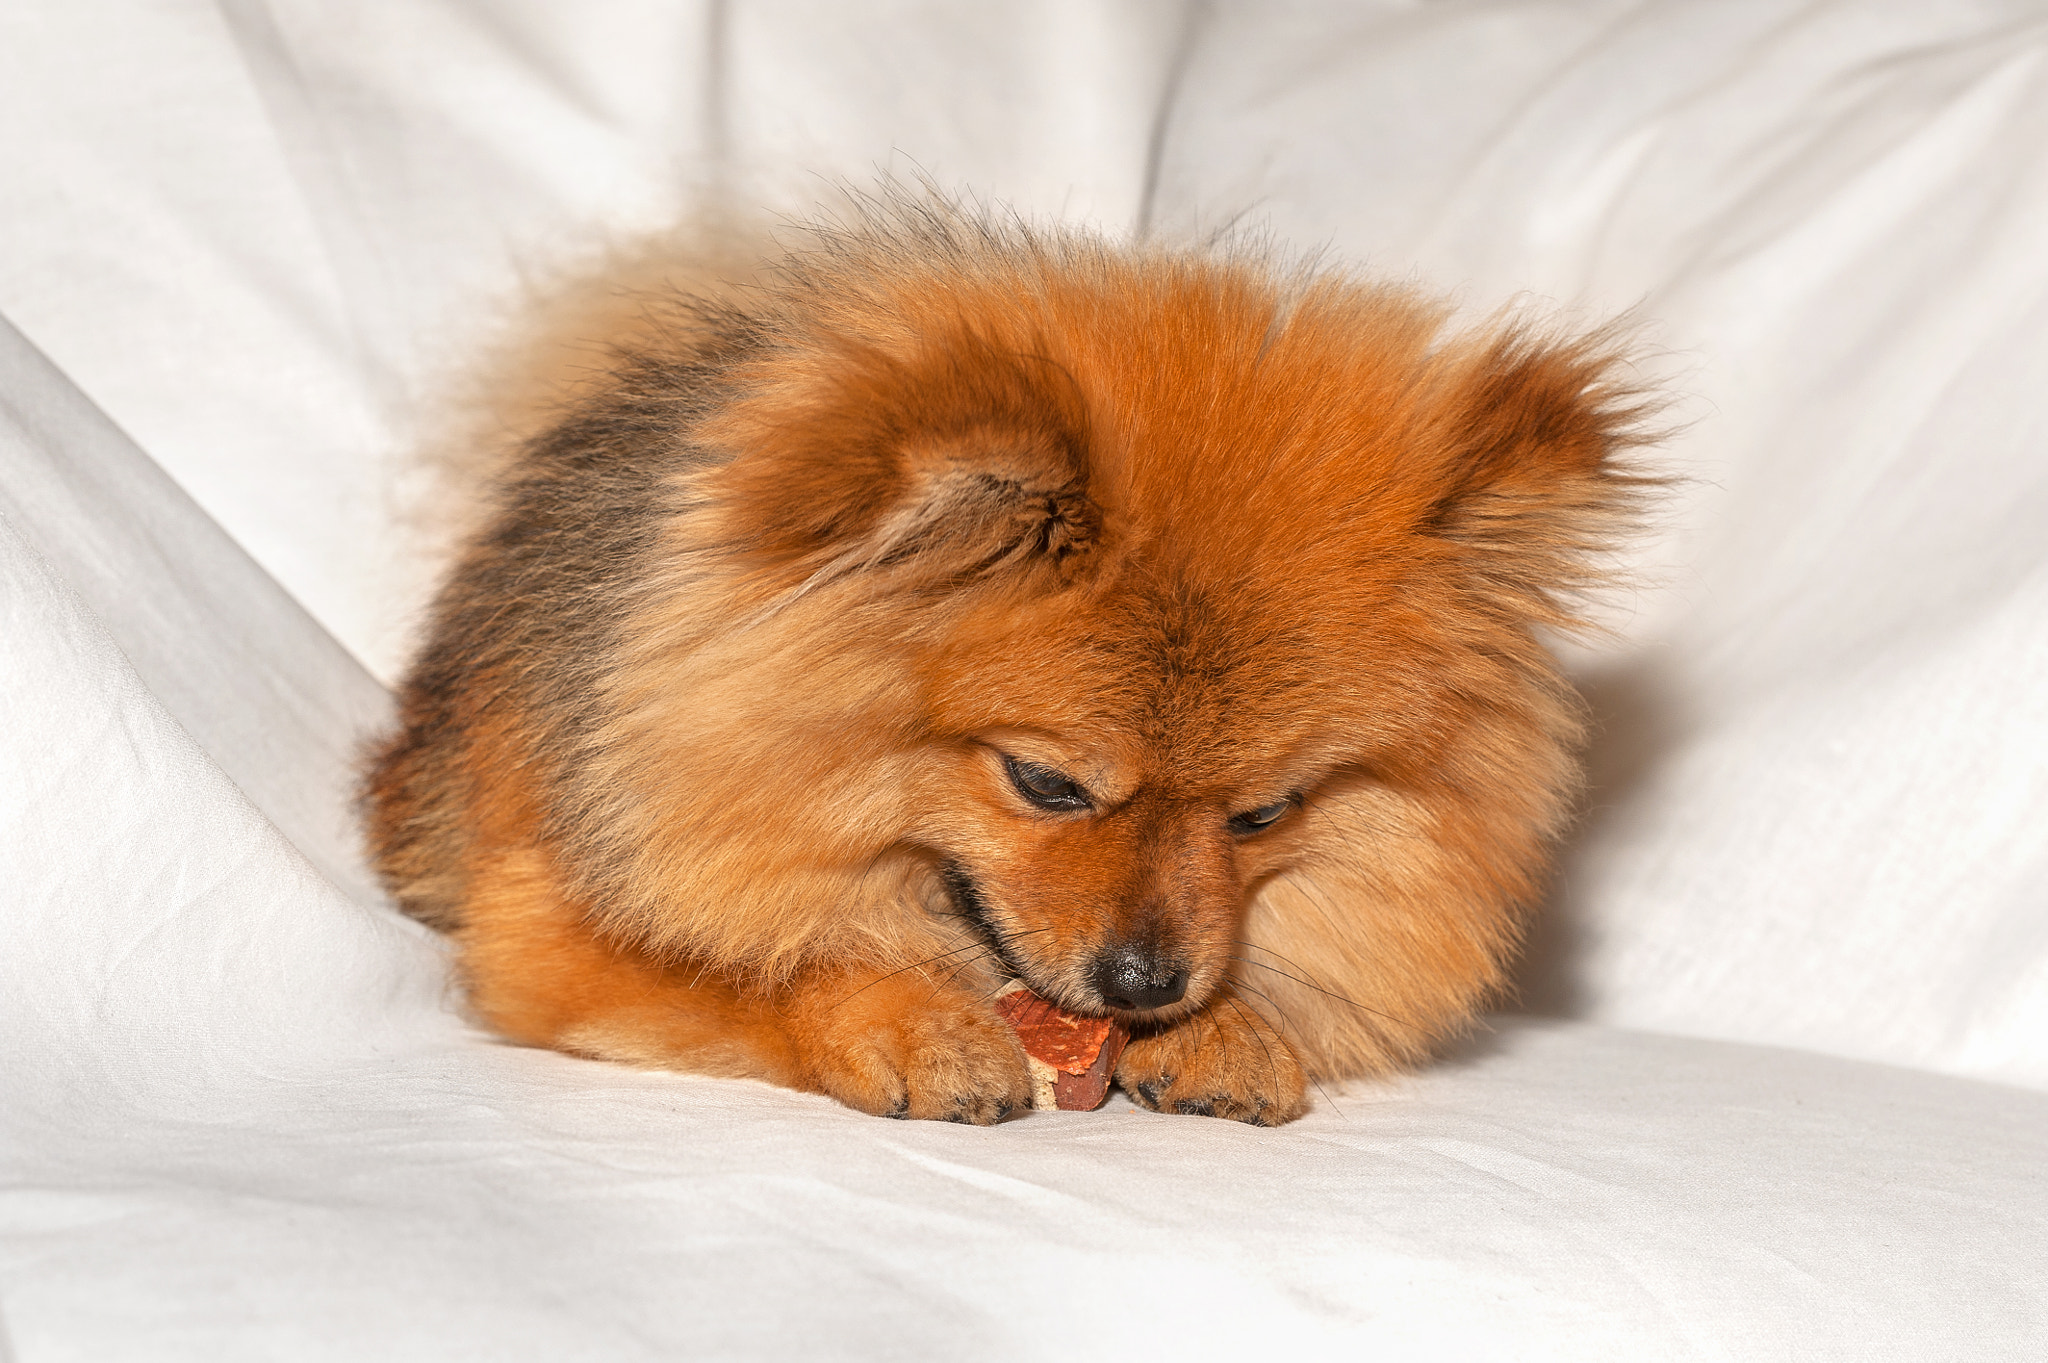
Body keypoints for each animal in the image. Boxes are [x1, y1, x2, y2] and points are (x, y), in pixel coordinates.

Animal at [364, 193, 1646, 1121]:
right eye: (1045, 783)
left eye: (1262, 814)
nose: (1147, 983)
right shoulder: (546, 921)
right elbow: (766, 962)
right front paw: (906, 1018)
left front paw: (1225, 1025)